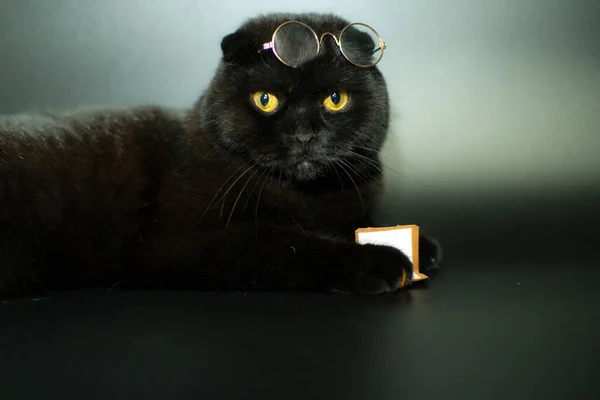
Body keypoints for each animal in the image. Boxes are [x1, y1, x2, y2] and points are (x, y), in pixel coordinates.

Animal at [0, 11, 440, 300]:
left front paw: (423, 245)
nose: (304, 135)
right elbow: (283, 241)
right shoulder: (185, 241)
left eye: (335, 99)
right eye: (265, 99)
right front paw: (381, 260)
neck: (309, 199)